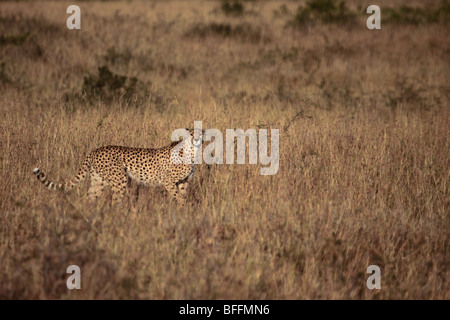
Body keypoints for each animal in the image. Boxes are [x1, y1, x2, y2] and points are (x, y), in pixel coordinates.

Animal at [32, 129, 205, 206]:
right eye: (191, 134)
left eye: (200, 133)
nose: (197, 138)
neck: (192, 151)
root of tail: (95, 150)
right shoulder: (168, 181)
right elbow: (178, 196)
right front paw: (184, 209)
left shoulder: (183, 182)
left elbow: (182, 195)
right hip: (119, 180)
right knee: (115, 201)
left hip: (99, 180)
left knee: (89, 196)